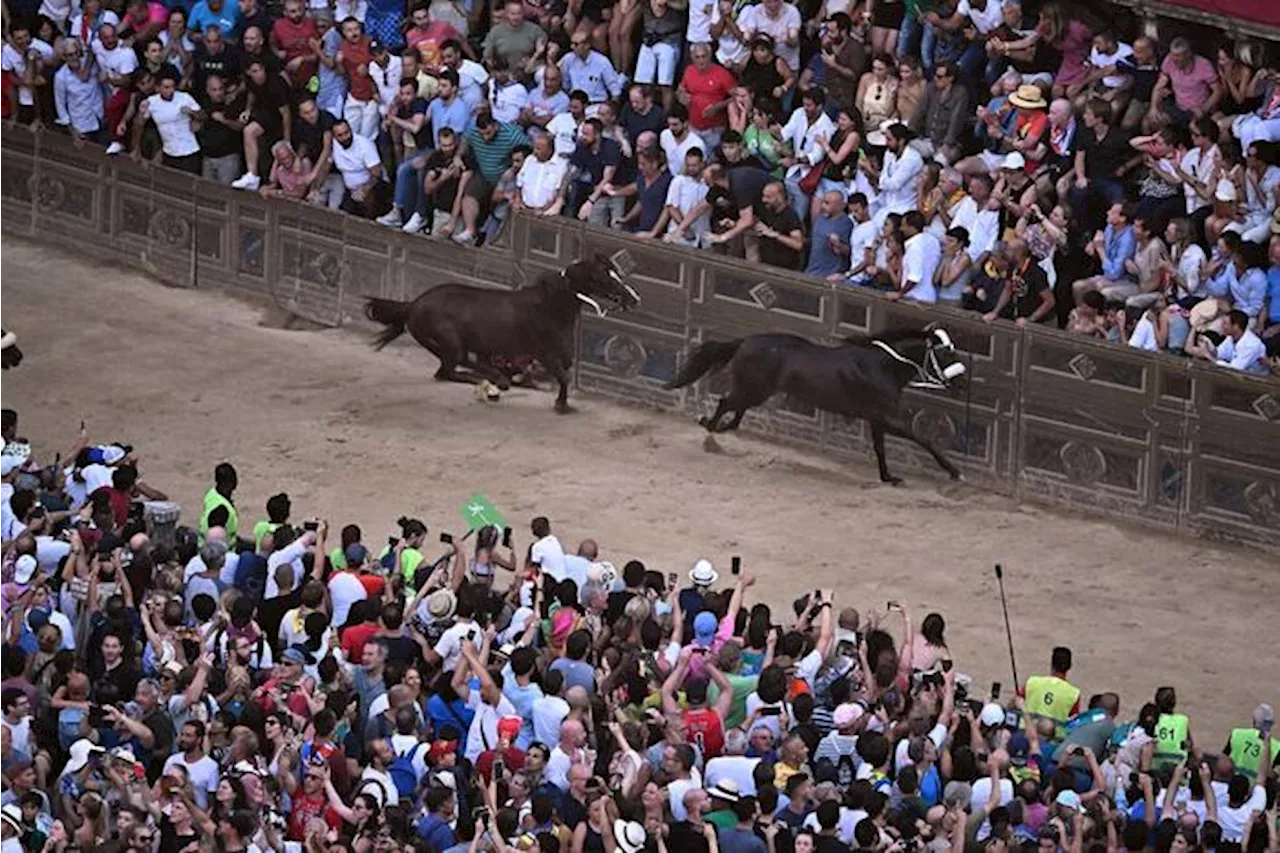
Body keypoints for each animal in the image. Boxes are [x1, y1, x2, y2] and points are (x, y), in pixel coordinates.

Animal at [366, 252, 634, 412]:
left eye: (614, 272)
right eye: (603, 275)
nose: (632, 298)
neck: (548, 306)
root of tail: (414, 304)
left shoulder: (560, 354)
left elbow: (562, 372)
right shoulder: (543, 353)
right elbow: (563, 376)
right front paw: (561, 405)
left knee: (453, 368)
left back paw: (494, 383)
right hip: (450, 343)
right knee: (449, 370)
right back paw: (496, 382)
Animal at [670, 326, 967, 484]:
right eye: (944, 354)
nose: (961, 383)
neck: (882, 365)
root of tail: (745, 341)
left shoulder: (876, 418)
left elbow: (880, 447)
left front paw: (888, 478)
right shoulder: (886, 416)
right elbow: (923, 439)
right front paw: (954, 472)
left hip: (756, 390)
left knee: (736, 411)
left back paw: (719, 429)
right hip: (754, 390)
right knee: (726, 403)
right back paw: (709, 426)